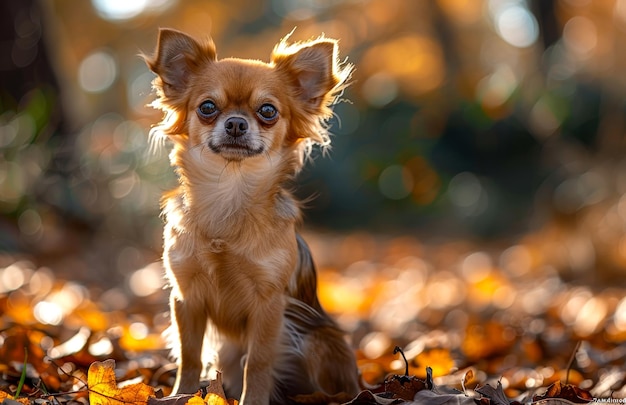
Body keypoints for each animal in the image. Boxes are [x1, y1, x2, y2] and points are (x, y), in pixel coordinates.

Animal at [143, 29, 356, 404]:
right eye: (207, 107)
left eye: (268, 110)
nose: (236, 123)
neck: (229, 194)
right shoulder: (186, 298)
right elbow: (189, 354)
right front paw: (182, 395)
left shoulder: (268, 304)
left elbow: (257, 361)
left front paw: (253, 399)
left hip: (317, 340)